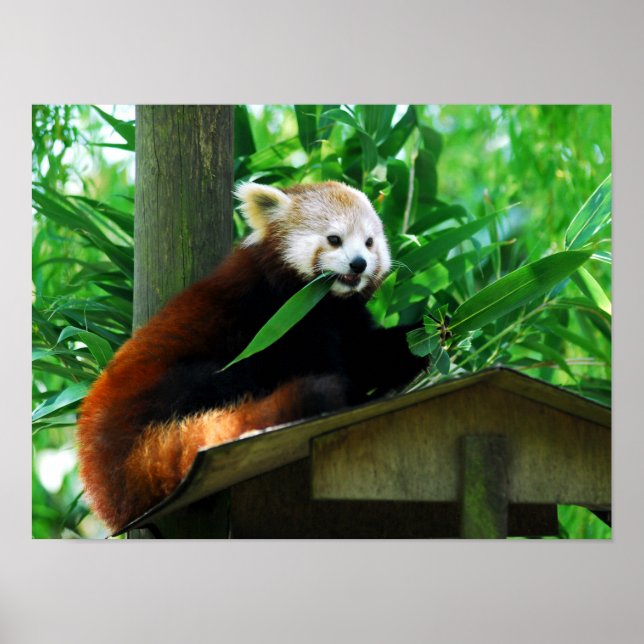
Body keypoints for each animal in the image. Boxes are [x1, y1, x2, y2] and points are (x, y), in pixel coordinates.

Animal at [77, 181, 427, 532]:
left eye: (369, 242)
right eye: (334, 239)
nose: (358, 264)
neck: (319, 301)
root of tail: (105, 470)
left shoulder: (345, 317)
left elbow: (371, 353)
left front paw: (431, 334)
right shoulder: (276, 315)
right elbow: (319, 365)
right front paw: (354, 395)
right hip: (169, 386)